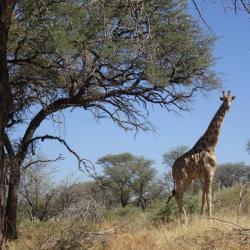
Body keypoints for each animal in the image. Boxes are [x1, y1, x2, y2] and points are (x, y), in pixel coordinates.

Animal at [172, 91, 234, 224]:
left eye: (231, 99)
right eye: (223, 99)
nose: (228, 107)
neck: (211, 145)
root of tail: (172, 167)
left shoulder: (203, 175)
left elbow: (203, 196)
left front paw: (202, 218)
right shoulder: (210, 172)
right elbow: (209, 196)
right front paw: (211, 220)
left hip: (189, 179)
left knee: (178, 194)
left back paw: (183, 220)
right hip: (181, 178)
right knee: (178, 194)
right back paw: (184, 221)